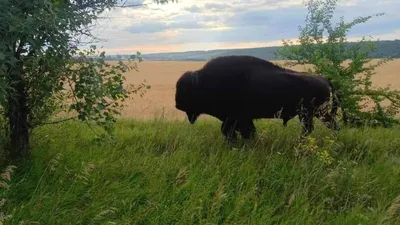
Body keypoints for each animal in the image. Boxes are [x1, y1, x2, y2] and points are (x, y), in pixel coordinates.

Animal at [174, 54, 338, 142]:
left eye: (186, 90)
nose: (177, 104)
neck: (204, 81)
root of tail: (324, 79)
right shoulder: (239, 119)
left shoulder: (236, 118)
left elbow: (236, 131)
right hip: (316, 113)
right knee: (329, 124)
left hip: (309, 113)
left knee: (309, 128)